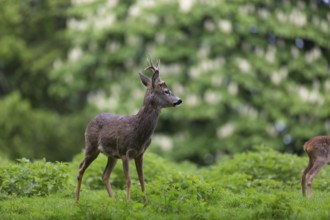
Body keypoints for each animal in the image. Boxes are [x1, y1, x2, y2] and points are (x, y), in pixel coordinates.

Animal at [75, 58, 182, 203]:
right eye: (166, 90)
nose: (179, 100)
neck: (139, 131)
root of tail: (90, 122)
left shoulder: (140, 154)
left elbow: (142, 179)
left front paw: (145, 203)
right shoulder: (125, 151)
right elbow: (129, 179)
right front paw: (128, 202)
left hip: (111, 155)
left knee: (105, 175)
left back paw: (114, 201)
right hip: (91, 146)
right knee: (81, 168)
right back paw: (76, 201)